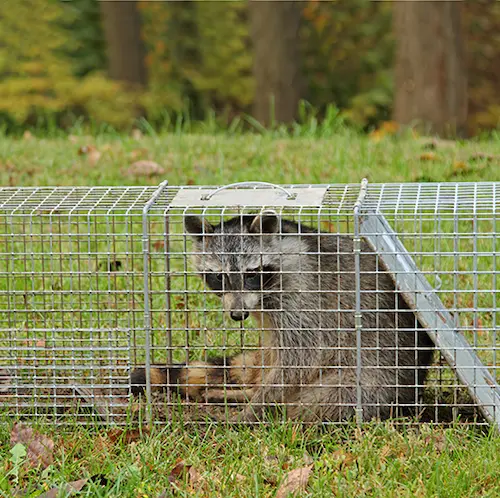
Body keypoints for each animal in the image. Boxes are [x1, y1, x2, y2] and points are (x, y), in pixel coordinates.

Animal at [132, 212, 434, 422]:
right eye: (219, 277)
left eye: (251, 274)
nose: (237, 314)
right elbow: (274, 357)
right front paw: (251, 395)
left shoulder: (305, 295)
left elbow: (300, 359)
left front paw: (255, 408)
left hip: (374, 383)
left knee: (322, 401)